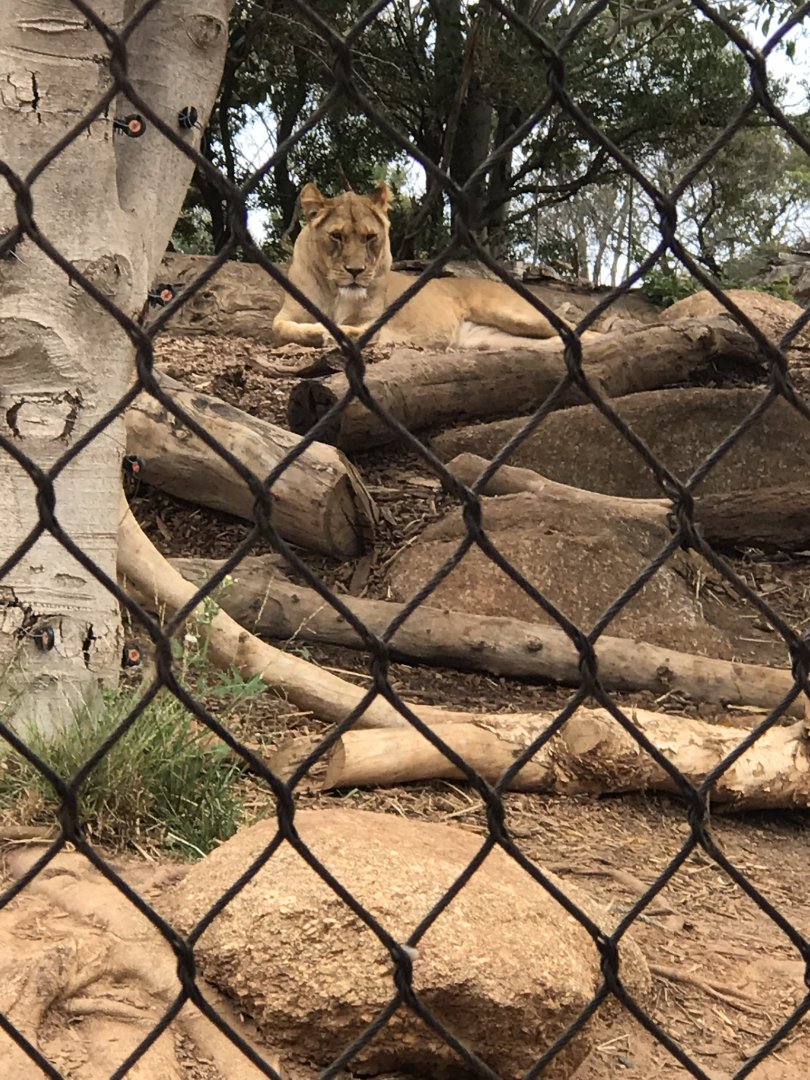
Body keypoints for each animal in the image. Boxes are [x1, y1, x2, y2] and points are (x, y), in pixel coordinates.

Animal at [272, 182, 571, 350]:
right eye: (336, 236)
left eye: (370, 237)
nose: (355, 271)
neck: (337, 294)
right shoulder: (288, 314)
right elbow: (282, 328)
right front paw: (320, 332)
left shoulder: (371, 319)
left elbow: (361, 329)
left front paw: (339, 333)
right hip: (491, 339)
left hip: (515, 313)